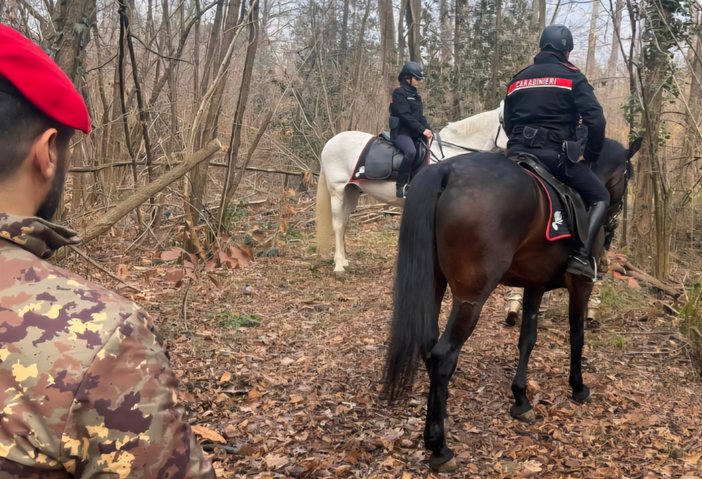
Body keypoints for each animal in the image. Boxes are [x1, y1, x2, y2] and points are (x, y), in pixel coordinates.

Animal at [315, 104, 508, 273]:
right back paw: (339, 266)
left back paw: (344, 260)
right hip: (337, 191)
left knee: (344, 223)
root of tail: (331, 142)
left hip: (351, 192)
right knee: (338, 224)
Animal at [383, 138, 642, 474]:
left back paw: (441, 418)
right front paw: (578, 387)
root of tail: (446, 171)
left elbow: (527, 339)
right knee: (442, 356)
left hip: (434, 284)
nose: (611, 228)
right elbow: (577, 336)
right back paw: (439, 447)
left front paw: (520, 400)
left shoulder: (535, 285)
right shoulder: (581, 285)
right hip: (471, 299)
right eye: (627, 176)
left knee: (428, 344)